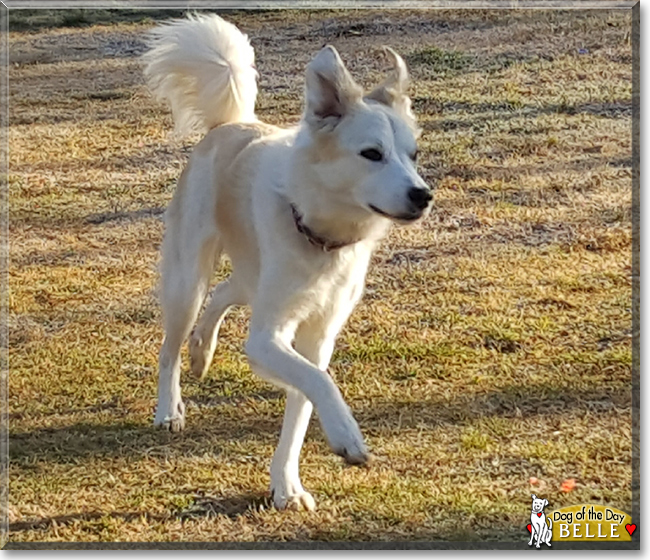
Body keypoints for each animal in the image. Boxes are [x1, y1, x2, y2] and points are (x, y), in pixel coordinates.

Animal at [144, 14, 432, 512]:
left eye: (412, 155)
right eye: (372, 154)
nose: (423, 195)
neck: (321, 237)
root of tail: (234, 124)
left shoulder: (317, 337)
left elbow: (306, 393)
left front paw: (286, 484)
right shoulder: (265, 339)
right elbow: (319, 382)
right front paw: (347, 435)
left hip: (249, 278)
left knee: (226, 292)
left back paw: (203, 349)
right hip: (187, 281)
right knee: (169, 350)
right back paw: (169, 408)